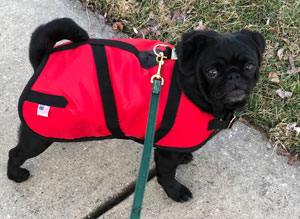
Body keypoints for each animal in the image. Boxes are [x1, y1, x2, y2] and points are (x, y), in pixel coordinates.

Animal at [6, 18, 264, 203]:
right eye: (212, 72)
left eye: (250, 66)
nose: (234, 76)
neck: (189, 88)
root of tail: (42, 58)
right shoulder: (166, 154)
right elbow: (167, 174)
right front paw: (175, 191)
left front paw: (185, 157)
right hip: (37, 138)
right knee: (15, 153)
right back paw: (15, 175)